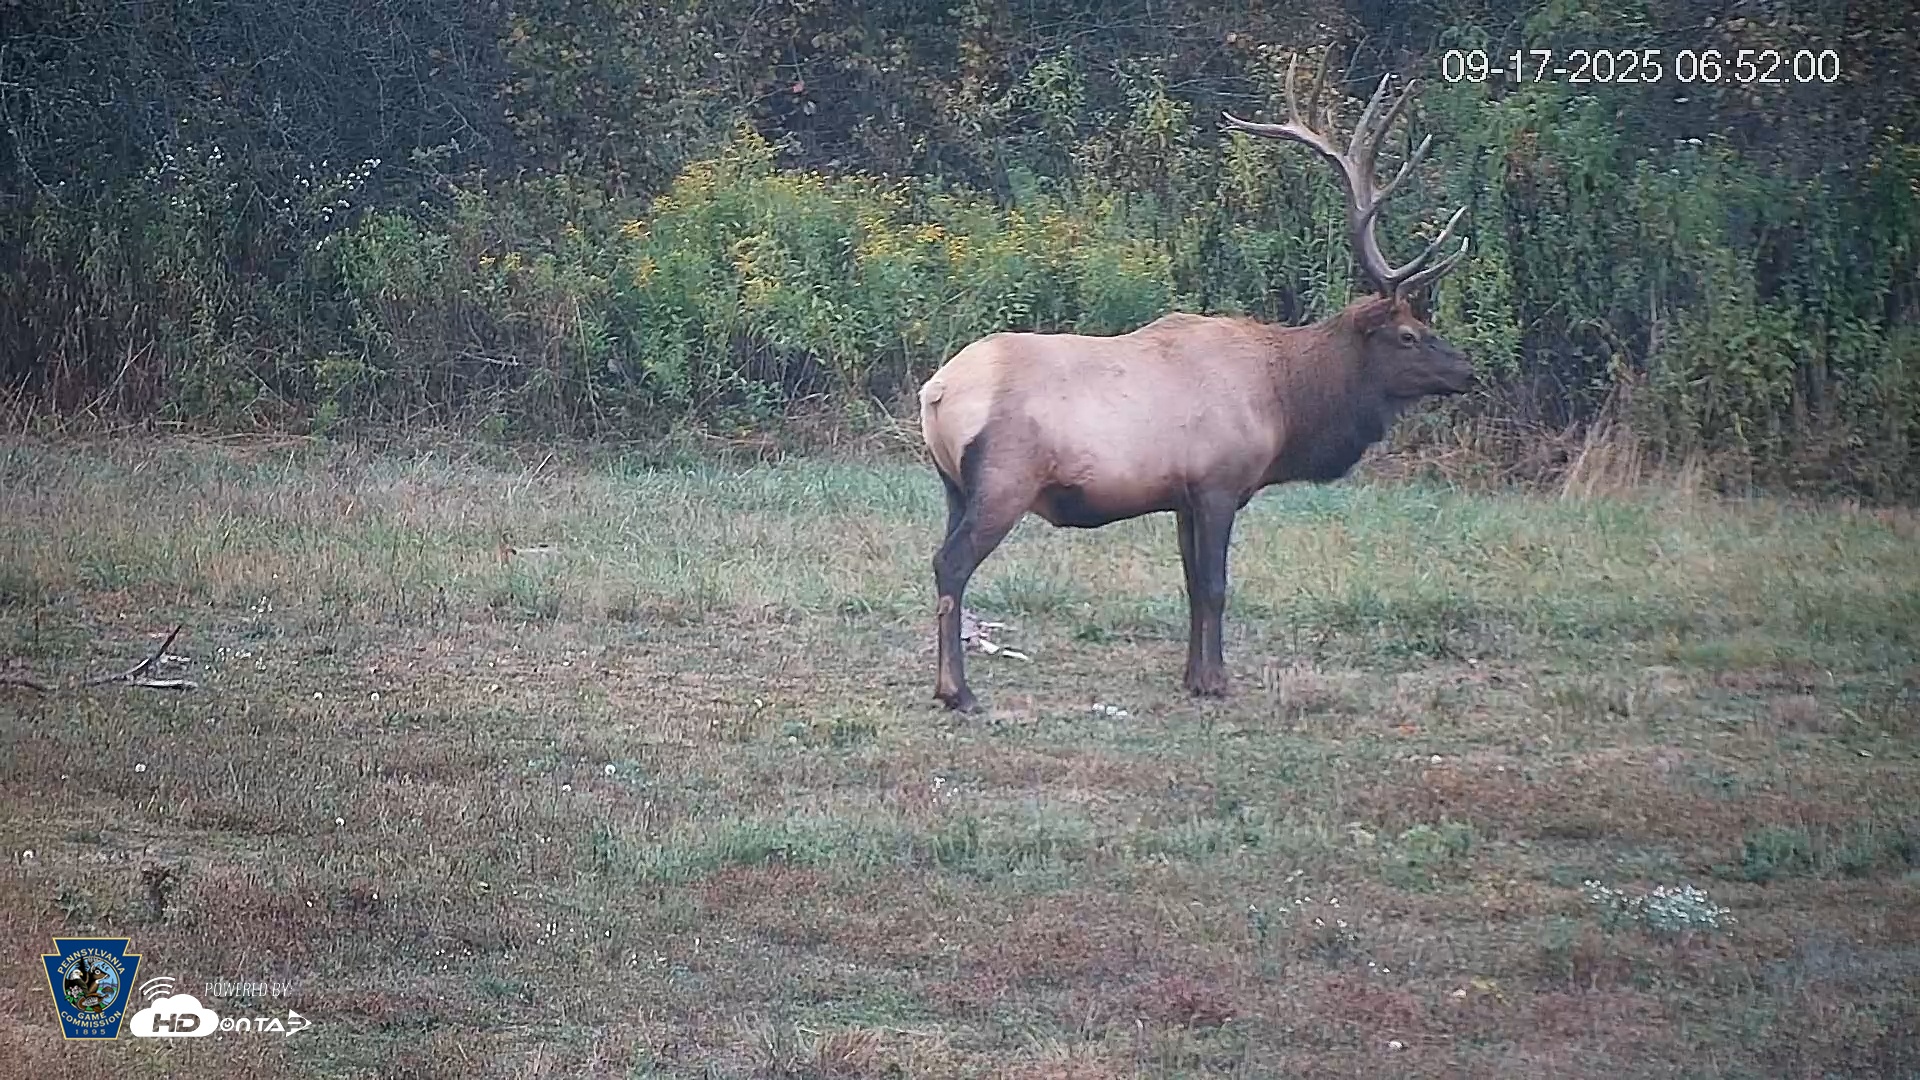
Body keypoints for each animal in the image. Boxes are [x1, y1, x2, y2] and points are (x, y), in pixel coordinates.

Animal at [917, 47, 1475, 712]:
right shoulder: (1218, 481)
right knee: (950, 564)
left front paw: (1192, 676)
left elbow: (1188, 583)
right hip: (1004, 479)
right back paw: (958, 691)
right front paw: (1216, 681)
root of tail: (935, 392)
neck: (1285, 402)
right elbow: (1214, 585)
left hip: (953, 486)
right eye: (1409, 334)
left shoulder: (1182, 495)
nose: (1468, 372)